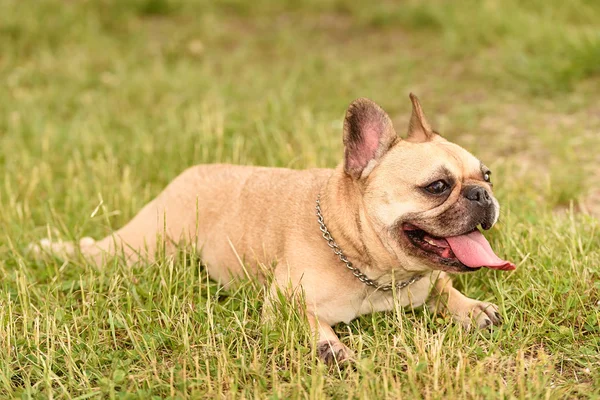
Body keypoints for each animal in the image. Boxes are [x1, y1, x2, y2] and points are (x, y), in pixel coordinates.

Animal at [31, 95, 516, 364]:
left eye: (487, 175)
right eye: (437, 187)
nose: (481, 195)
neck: (374, 272)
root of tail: (188, 173)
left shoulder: (425, 282)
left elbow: (444, 288)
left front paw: (471, 307)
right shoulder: (285, 303)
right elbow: (310, 322)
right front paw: (329, 347)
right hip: (140, 248)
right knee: (94, 250)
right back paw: (50, 249)